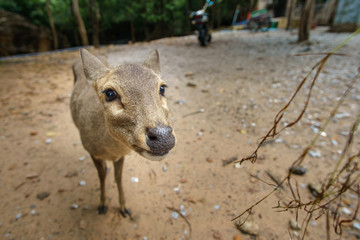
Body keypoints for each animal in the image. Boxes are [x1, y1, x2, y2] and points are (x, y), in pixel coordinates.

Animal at [70, 48, 176, 218]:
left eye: (162, 88)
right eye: (109, 93)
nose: (163, 136)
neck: (108, 150)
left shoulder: (120, 155)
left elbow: (118, 177)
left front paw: (124, 208)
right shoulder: (90, 150)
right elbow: (101, 176)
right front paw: (102, 205)